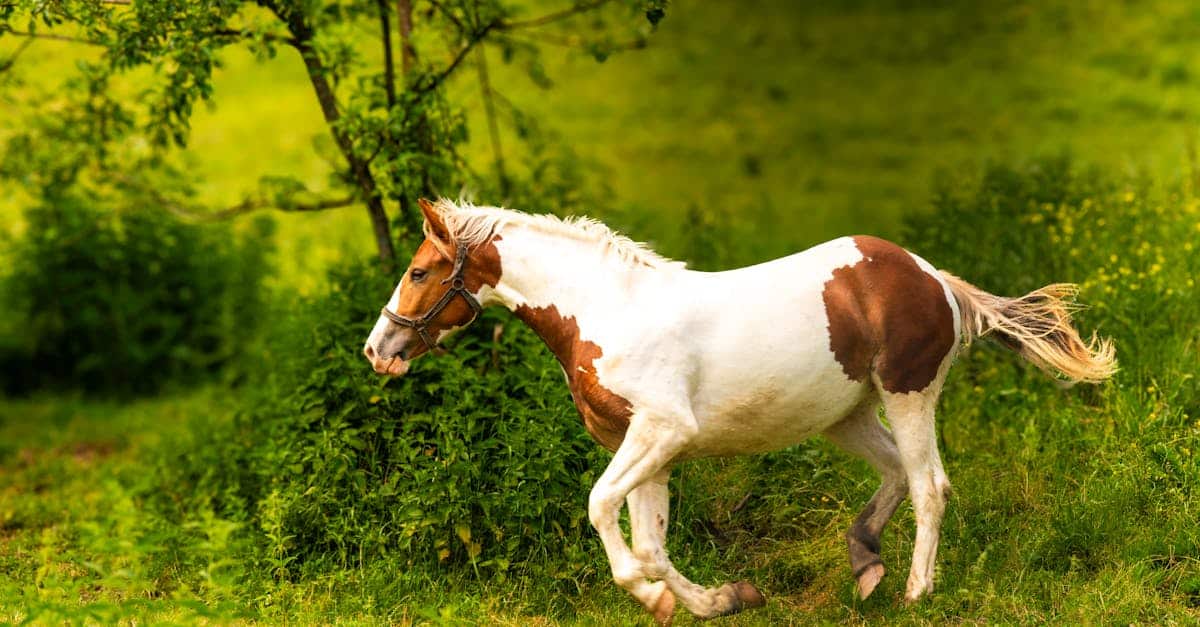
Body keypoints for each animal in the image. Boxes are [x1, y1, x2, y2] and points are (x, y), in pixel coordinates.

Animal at [363, 198, 1116, 624]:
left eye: (421, 271)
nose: (379, 349)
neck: (606, 310)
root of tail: (933, 277)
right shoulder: (649, 447)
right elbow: (651, 541)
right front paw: (717, 600)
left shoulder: (661, 430)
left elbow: (603, 510)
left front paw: (654, 597)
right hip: (845, 413)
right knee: (899, 476)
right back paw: (866, 566)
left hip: (909, 394)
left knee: (930, 485)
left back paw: (914, 591)